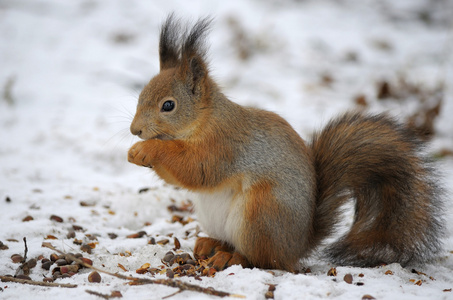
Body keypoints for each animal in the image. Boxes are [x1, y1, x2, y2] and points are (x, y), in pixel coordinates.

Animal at [126, 14, 442, 272]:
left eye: (168, 106)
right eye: (141, 95)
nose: (135, 130)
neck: (204, 120)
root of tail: (298, 245)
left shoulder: (225, 145)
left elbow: (197, 168)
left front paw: (147, 150)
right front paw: (135, 153)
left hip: (261, 213)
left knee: (263, 259)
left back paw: (232, 257)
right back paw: (212, 245)